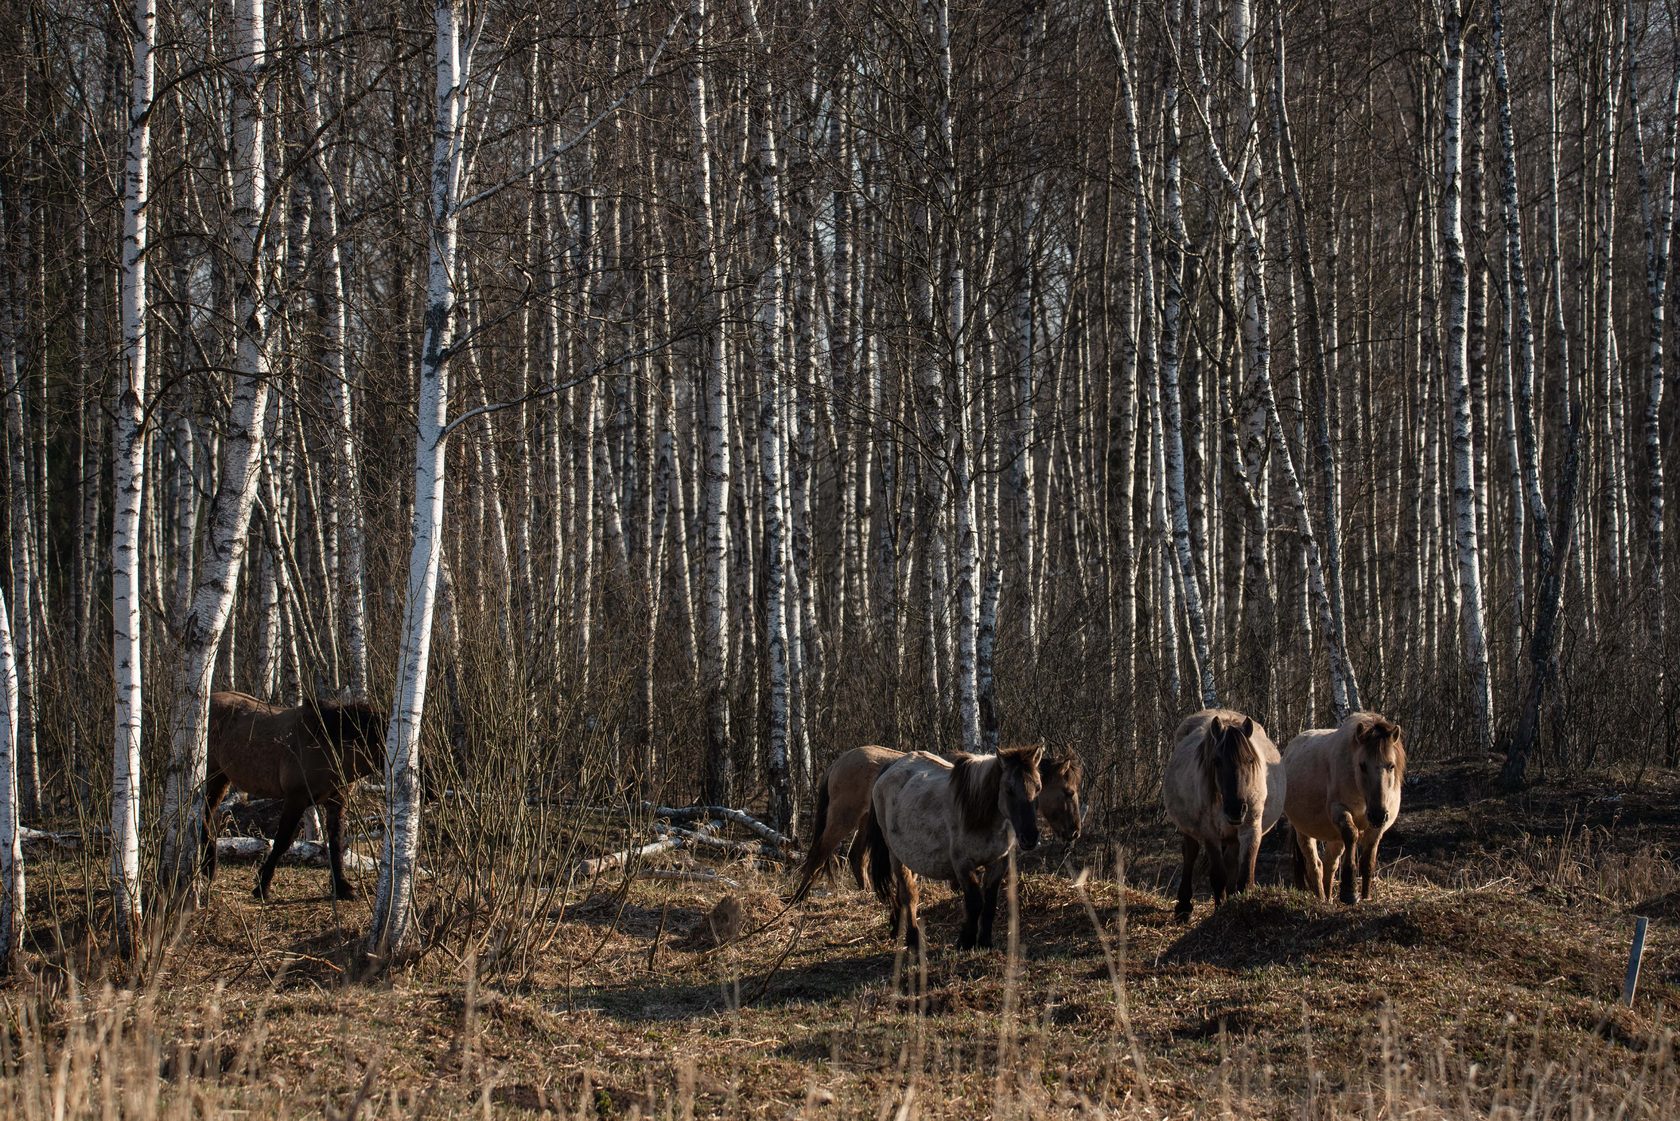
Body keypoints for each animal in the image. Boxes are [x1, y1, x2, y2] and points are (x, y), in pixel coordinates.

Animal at [201, 692, 388, 900]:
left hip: (221, 778)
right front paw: (262, 886)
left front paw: (342, 887)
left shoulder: (336, 802)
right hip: (212, 777)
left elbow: (336, 842)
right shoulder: (296, 799)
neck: (328, 742)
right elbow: (283, 841)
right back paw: (208, 867)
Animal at [789, 746, 1081, 900]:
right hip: (843, 817)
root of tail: (838, 762)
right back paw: (800, 897)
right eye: (1068, 792)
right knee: (819, 852)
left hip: (863, 822)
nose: (1075, 831)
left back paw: (869, 894)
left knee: (856, 856)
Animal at [860, 749, 1041, 954]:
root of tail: (892, 766)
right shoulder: (962, 864)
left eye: (1038, 788)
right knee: (909, 896)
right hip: (896, 856)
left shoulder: (997, 863)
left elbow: (989, 903)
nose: (1030, 837)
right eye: (1009, 790)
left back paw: (898, 928)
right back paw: (913, 940)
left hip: (911, 858)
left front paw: (985, 942)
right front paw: (966, 941)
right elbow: (975, 903)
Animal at [1169, 709, 1283, 921]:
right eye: (1217, 761)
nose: (1236, 809)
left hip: (1232, 836)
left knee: (1231, 863)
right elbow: (1218, 877)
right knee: (1190, 855)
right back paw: (1183, 906)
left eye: (1249, 760)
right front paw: (1219, 910)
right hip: (1190, 830)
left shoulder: (1251, 830)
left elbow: (1244, 878)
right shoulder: (1210, 834)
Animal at [1283, 719, 1404, 900]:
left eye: (1391, 766)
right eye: (1362, 766)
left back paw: (1328, 899)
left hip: (1335, 836)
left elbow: (1368, 862)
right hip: (1303, 830)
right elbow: (1352, 835)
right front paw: (1349, 892)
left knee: (1329, 864)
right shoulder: (1339, 811)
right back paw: (1321, 898)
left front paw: (1366, 896)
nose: (1377, 815)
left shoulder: (1377, 828)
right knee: (1315, 865)